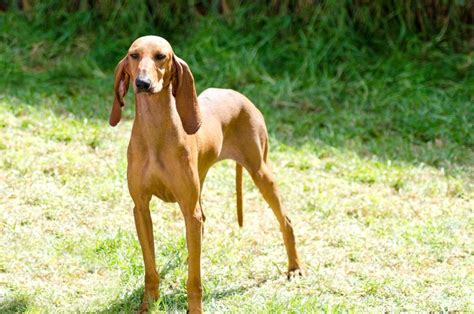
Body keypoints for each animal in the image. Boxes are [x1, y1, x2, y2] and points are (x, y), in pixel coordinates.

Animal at [109, 35, 302, 312]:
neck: (156, 134)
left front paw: (195, 308)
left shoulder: (189, 211)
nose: (142, 83)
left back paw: (294, 267)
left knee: (285, 220)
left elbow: (194, 280)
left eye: (161, 56)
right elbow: (151, 268)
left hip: (261, 172)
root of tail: (239, 95)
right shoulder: (141, 209)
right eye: (134, 55)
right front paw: (148, 304)